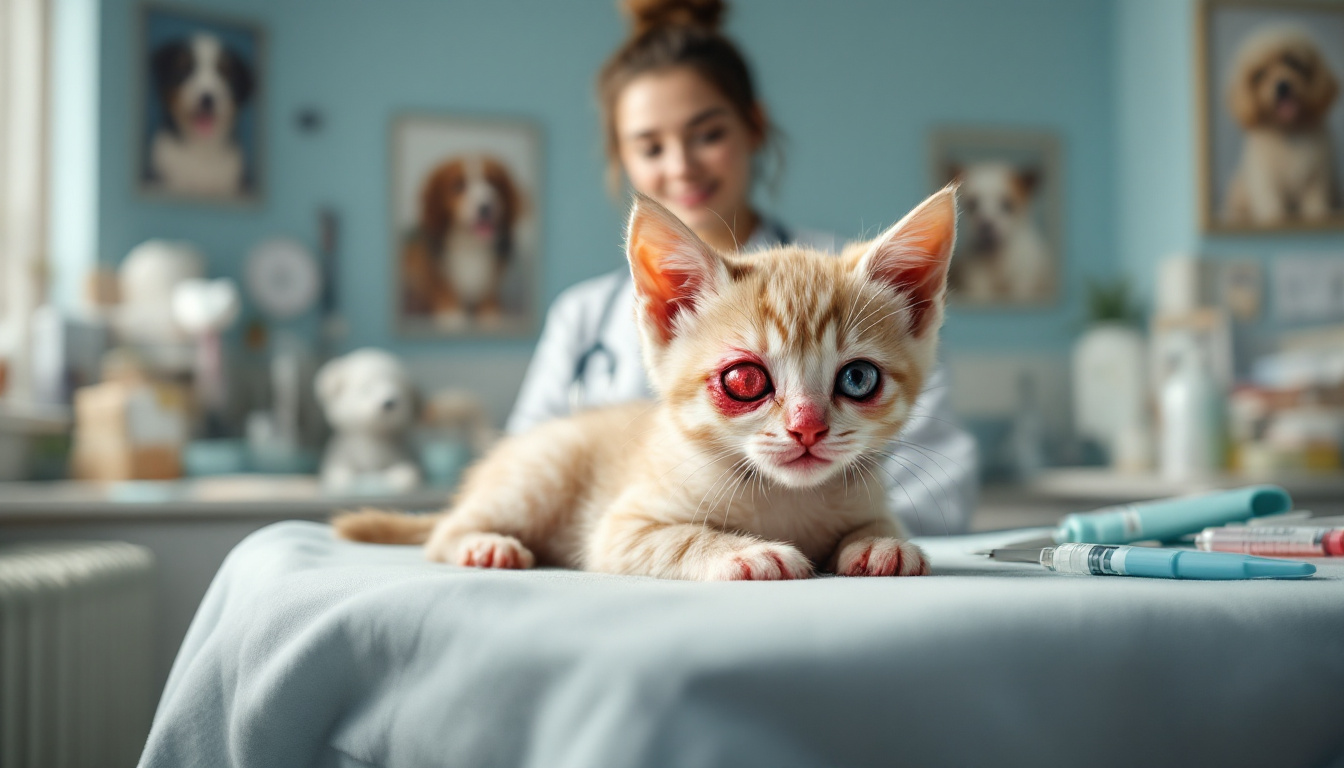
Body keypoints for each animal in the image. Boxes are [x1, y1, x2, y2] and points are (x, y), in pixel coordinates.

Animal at [334, 188, 956, 583]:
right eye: (746, 378)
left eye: (858, 377)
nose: (808, 428)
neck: (784, 498)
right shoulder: (622, 527)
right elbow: (678, 536)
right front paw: (748, 554)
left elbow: (880, 520)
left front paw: (880, 542)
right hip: (537, 477)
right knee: (443, 532)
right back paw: (482, 543)